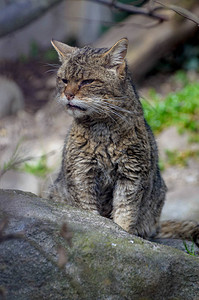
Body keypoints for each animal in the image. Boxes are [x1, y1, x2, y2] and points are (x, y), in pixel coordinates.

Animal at [47, 36, 198, 245]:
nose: (68, 94)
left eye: (87, 81)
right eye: (64, 80)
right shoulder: (81, 174)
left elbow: (125, 216)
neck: (102, 131)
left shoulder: (131, 176)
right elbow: (88, 213)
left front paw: (124, 237)